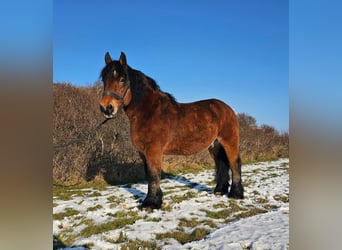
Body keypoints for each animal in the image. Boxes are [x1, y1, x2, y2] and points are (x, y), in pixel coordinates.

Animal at [99, 51, 243, 209]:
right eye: (104, 79)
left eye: (122, 79)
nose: (107, 108)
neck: (148, 112)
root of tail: (227, 108)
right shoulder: (143, 153)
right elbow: (149, 175)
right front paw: (155, 200)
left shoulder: (153, 151)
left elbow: (153, 175)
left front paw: (151, 203)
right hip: (214, 145)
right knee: (221, 163)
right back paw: (219, 191)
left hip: (229, 141)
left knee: (234, 163)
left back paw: (236, 194)